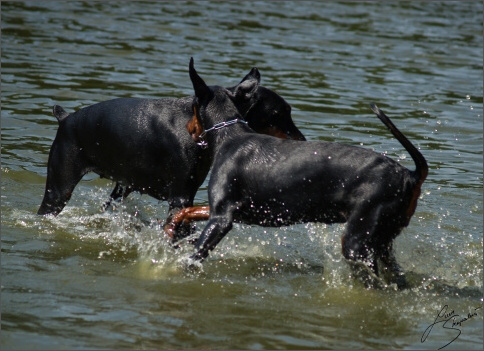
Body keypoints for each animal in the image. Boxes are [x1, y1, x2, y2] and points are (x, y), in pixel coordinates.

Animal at [37, 65, 304, 236]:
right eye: (280, 114)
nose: (303, 140)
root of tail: (65, 118)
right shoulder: (180, 196)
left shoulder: (188, 194)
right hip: (58, 189)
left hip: (120, 187)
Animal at [169, 58, 428, 288]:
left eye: (192, 105)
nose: (188, 128)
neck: (229, 136)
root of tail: (410, 175)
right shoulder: (233, 211)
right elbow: (185, 212)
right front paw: (170, 230)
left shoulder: (222, 218)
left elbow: (192, 259)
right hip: (382, 242)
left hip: (357, 244)